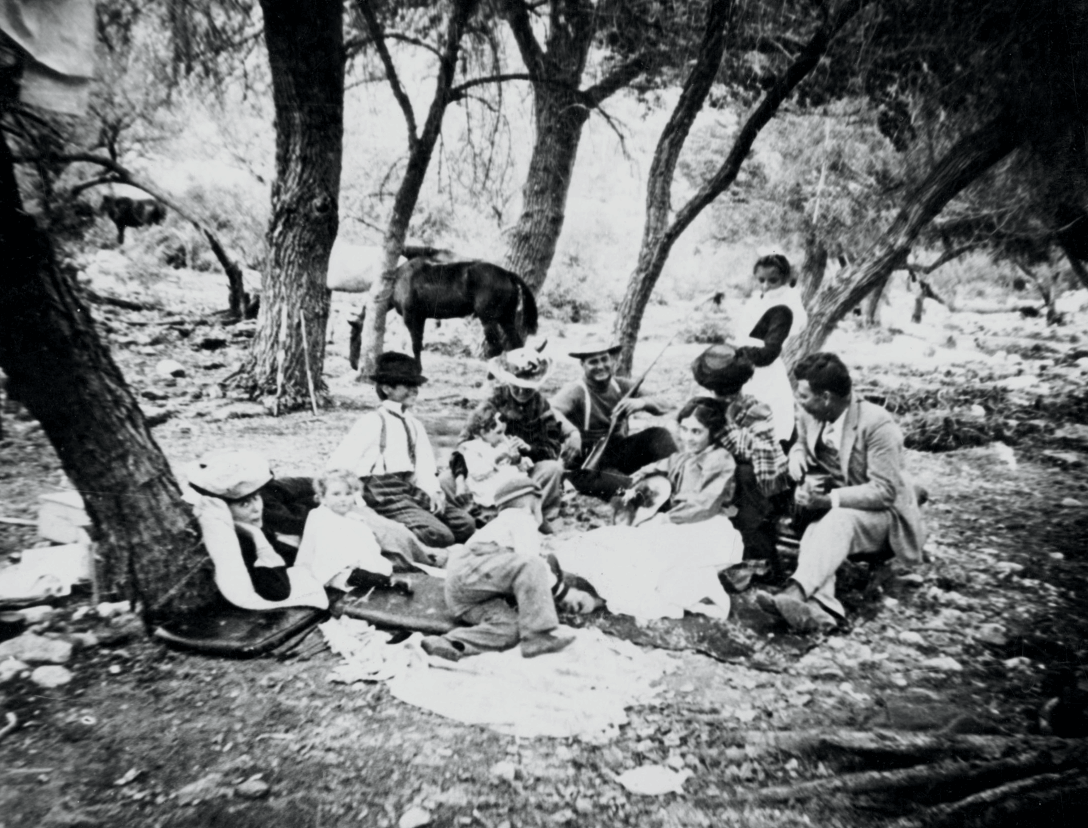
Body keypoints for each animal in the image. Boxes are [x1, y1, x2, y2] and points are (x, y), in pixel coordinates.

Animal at [345, 258, 537, 367]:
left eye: (354, 336)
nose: (353, 364)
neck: (399, 280)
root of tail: (507, 274)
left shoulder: (412, 317)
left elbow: (415, 345)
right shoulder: (421, 318)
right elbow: (418, 345)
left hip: (488, 319)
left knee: (497, 348)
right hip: (506, 319)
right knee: (516, 345)